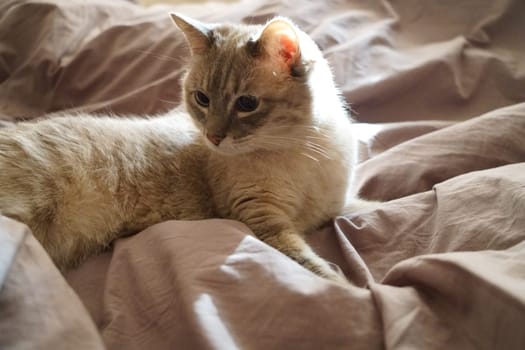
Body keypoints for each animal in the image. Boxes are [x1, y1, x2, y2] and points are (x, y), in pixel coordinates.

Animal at [0, 13, 360, 284]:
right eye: (202, 99)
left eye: (247, 104)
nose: (213, 137)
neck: (301, 150)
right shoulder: (264, 221)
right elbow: (320, 272)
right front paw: (350, 290)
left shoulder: (336, 208)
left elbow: (362, 209)